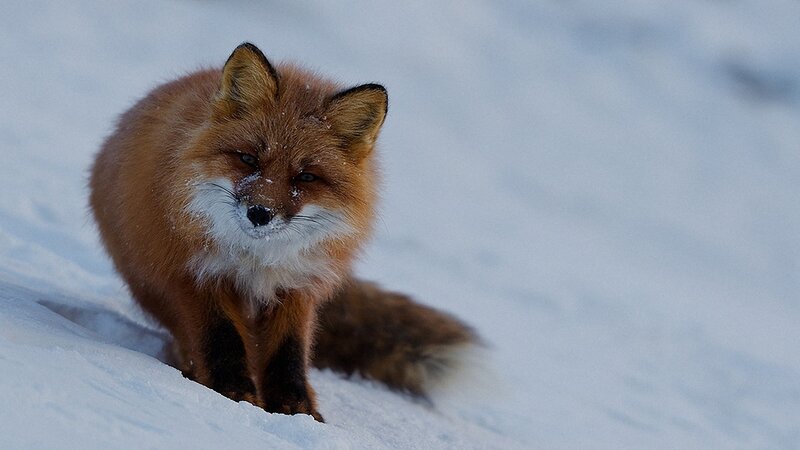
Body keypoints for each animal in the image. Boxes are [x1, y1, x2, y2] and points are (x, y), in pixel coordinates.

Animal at [89, 42, 477, 421]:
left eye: (305, 177)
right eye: (248, 159)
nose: (259, 213)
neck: (257, 261)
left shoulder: (297, 287)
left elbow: (286, 354)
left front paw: (296, 410)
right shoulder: (195, 275)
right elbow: (221, 339)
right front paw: (233, 394)